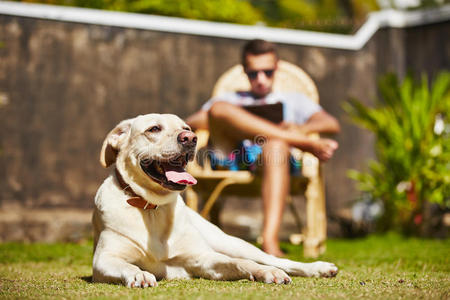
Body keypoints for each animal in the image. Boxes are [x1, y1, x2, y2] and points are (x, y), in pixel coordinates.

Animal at [92, 113, 338, 288]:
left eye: (186, 128)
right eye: (154, 129)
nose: (190, 139)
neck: (153, 209)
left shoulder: (203, 258)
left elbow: (243, 263)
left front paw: (265, 272)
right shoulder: (103, 260)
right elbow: (127, 266)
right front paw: (140, 275)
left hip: (233, 243)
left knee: (274, 260)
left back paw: (318, 268)